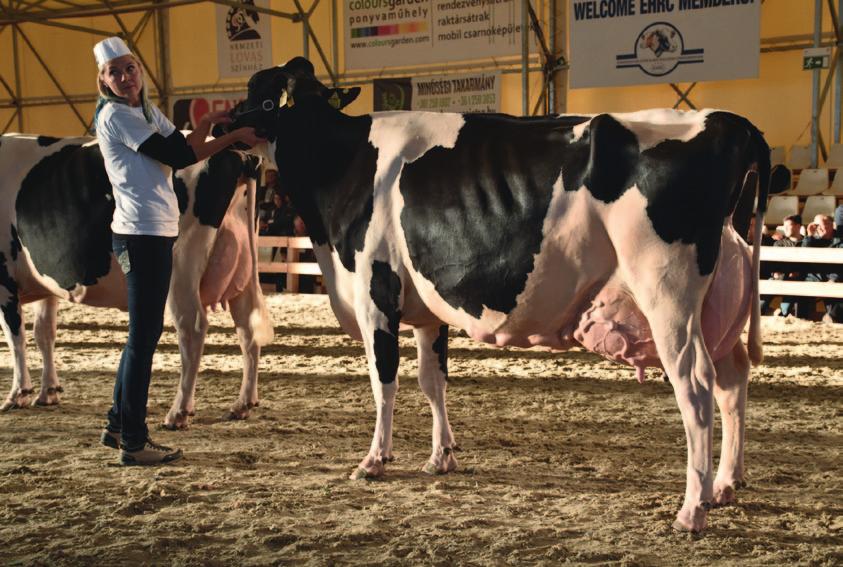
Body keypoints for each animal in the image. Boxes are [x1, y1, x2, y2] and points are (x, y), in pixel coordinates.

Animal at [0, 133, 272, 426]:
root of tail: (238, 155)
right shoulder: (48, 283)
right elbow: (44, 333)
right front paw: (47, 392)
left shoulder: (4, 281)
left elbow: (16, 336)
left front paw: (18, 394)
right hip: (242, 267)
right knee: (247, 328)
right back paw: (242, 404)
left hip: (181, 267)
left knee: (192, 328)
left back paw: (179, 412)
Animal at [221, 60, 788, 536]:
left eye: (262, 96)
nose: (221, 122)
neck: (344, 162)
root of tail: (730, 122)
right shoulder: (427, 309)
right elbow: (432, 380)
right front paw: (441, 458)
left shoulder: (374, 292)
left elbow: (385, 381)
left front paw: (374, 461)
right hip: (720, 305)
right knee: (733, 382)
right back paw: (726, 484)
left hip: (667, 294)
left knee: (696, 387)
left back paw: (692, 509)